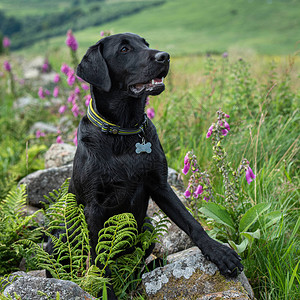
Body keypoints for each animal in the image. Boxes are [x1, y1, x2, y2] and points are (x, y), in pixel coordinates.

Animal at [69, 33, 243, 298]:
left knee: (135, 266)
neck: (124, 132)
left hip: (148, 227)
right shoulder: (93, 207)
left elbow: (191, 222)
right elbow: (100, 259)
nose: (165, 56)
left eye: (146, 44)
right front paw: (106, 291)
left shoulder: (160, 186)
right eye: (124, 49)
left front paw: (218, 252)